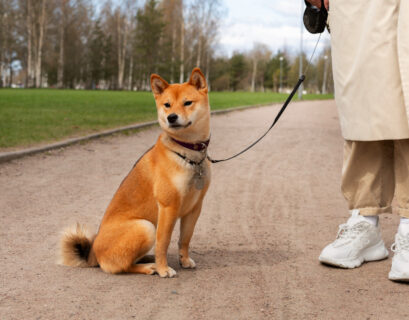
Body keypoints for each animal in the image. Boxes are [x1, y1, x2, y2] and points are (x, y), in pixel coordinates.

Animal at [59, 67, 212, 278]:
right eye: (167, 105)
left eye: (187, 102)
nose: (171, 117)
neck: (188, 154)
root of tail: (94, 254)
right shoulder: (168, 207)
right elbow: (163, 243)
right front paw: (164, 268)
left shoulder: (195, 207)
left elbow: (185, 239)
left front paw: (185, 260)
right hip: (145, 227)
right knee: (121, 266)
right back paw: (150, 266)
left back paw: (148, 258)